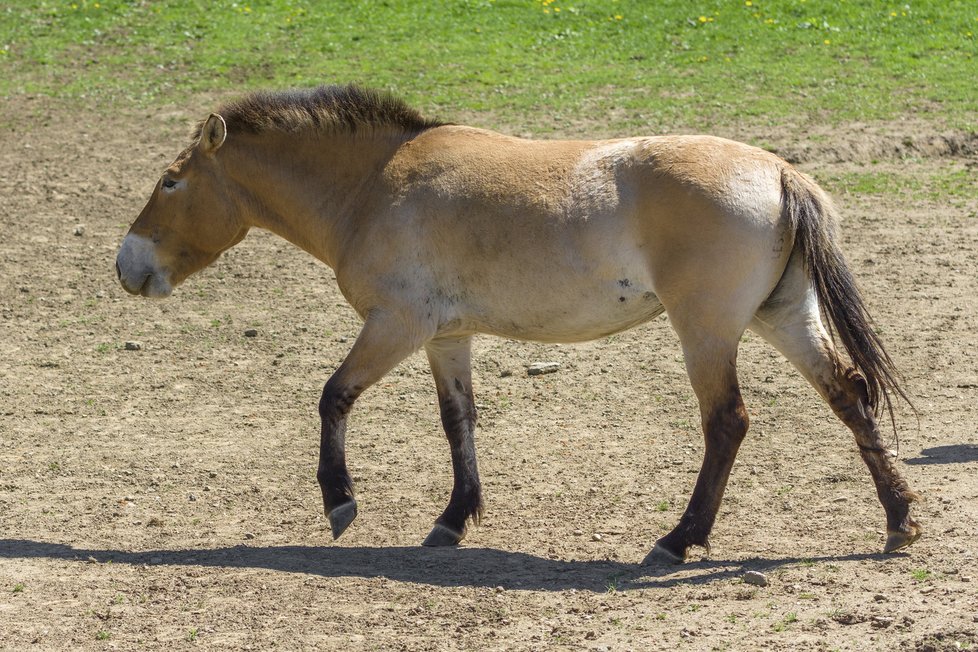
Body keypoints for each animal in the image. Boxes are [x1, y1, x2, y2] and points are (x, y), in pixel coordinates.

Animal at [118, 84, 920, 564]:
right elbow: (459, 423)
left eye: (170, 180)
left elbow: (333, 396)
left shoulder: (395, 325)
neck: (374, 186)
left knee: (727, 422)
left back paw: (679, 539)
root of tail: (781, 174)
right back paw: (899, 522)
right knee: (849, 393)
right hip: (781, 317)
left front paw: (340, 502)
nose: (127, 264)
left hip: (708, 332)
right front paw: (452, 519)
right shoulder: (446, 337)